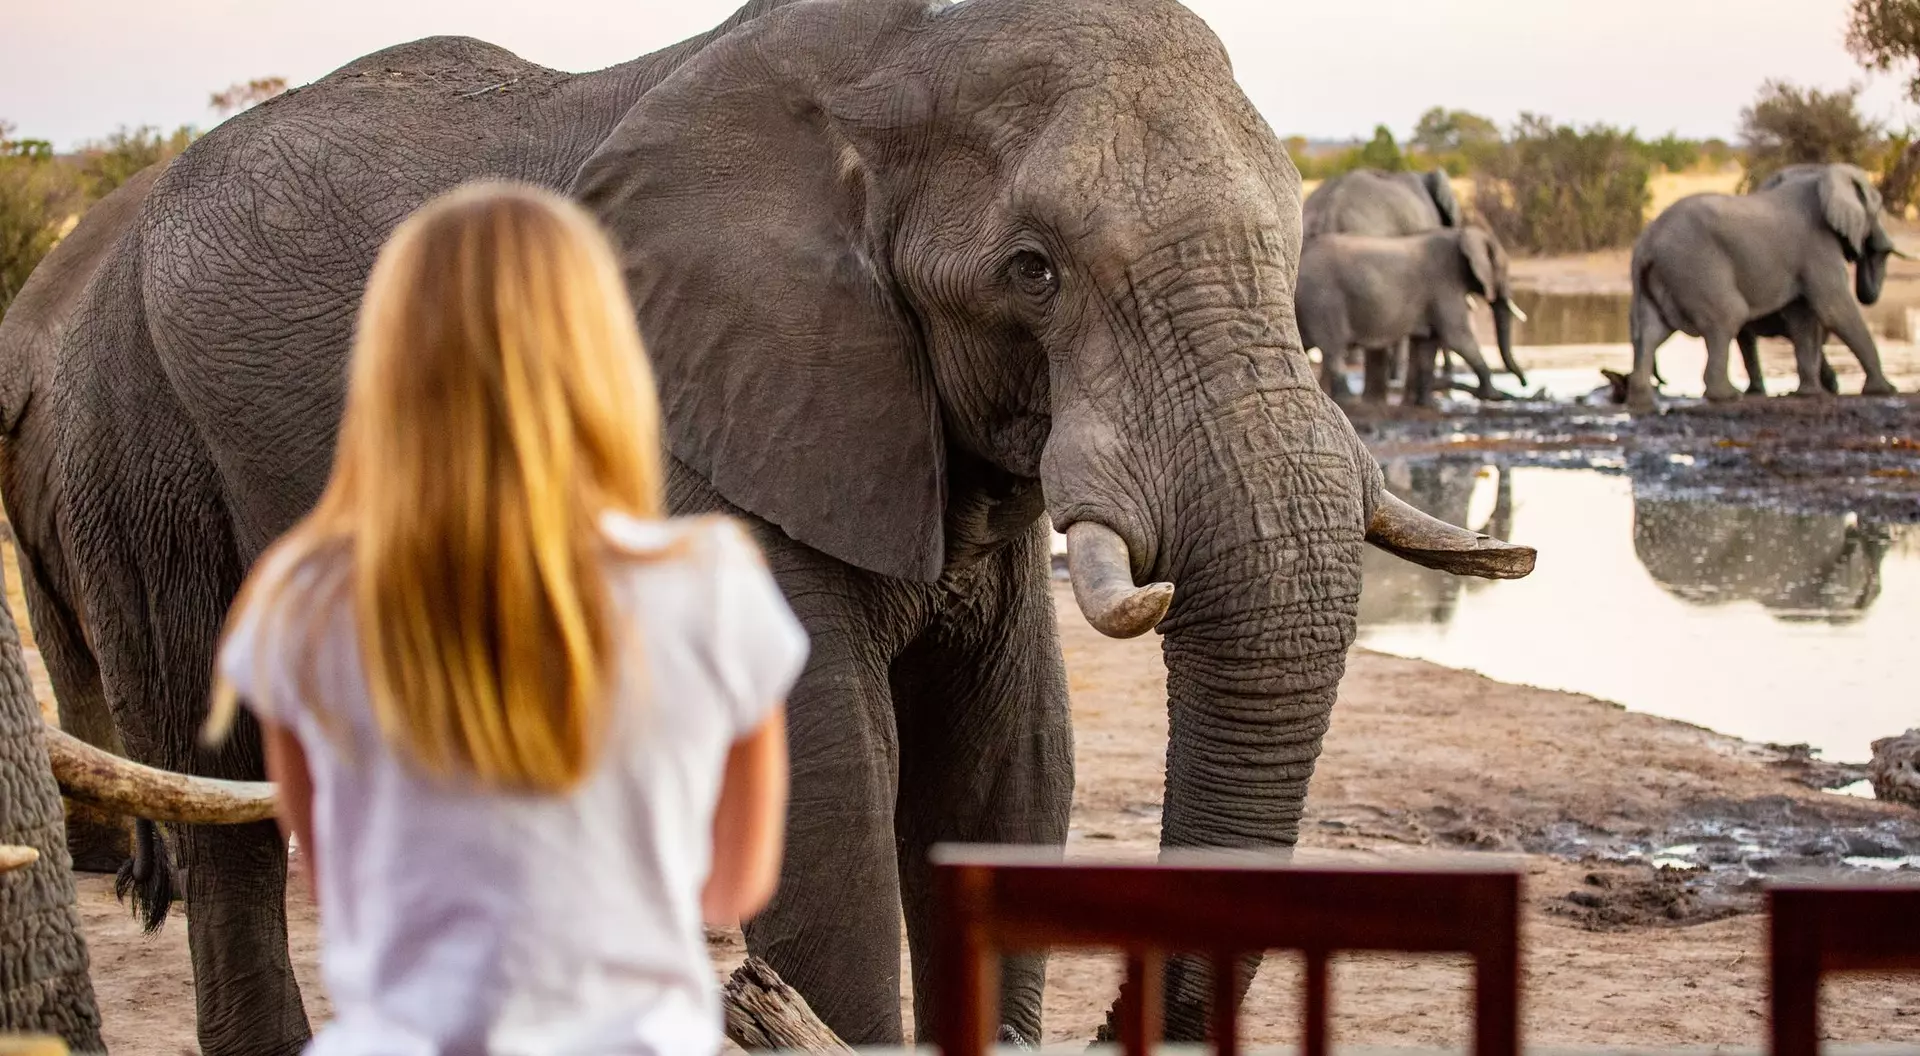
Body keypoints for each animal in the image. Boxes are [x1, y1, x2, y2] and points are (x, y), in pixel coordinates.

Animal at [1297, 226, 1529, 405]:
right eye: (1503, 270)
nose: (1524, 383)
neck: (1460, 234)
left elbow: (1428, 346)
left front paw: (1427, 404)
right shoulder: (1445, 285)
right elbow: (1458, 338)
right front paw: (1492, 395)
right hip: (1324, 301)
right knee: (1334, 350)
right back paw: (1347, 400)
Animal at [1627, 162, 1900, 408]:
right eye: (1878, 208)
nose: (1870, 248)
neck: (1822, 176)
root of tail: (1647, 241)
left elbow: (1803, 318)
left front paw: (1808, 394)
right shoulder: (1817, 247)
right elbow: (1834, 308)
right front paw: (1885, 390)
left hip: (1665, 274)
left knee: (1653, 330)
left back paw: (1641, 400)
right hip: (1695, 267)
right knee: (1729, 315)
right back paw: (1728, 396)